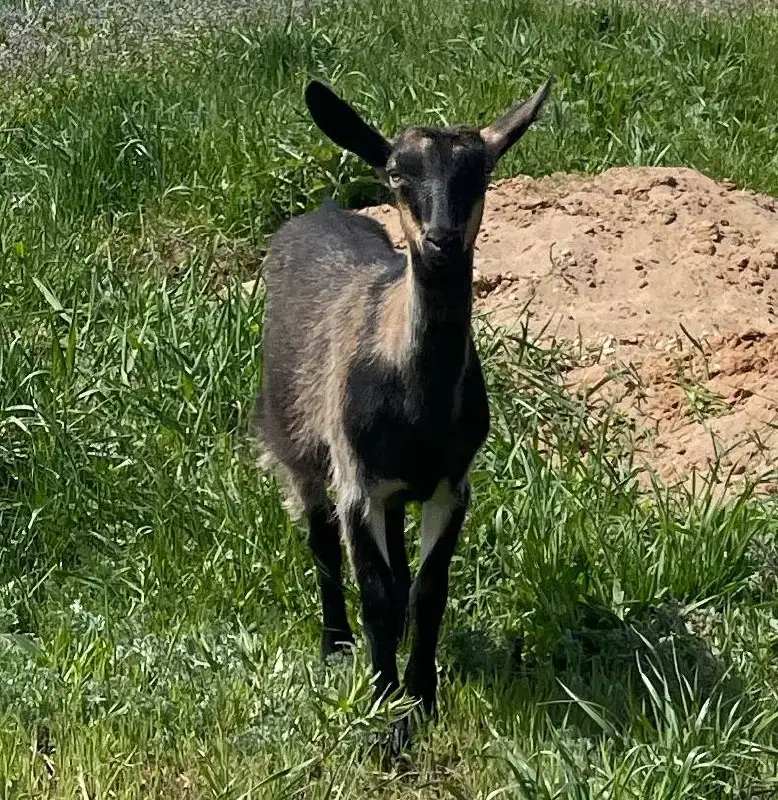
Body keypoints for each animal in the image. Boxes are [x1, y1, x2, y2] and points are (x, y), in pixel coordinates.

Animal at [253, 74, 551, 749]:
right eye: (395, 173)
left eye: (481, 173)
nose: (440, 242)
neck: (419, 409)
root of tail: (321, 211)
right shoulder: (356, 481)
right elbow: (379, 596)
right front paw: (385, 714)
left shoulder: (451, 484)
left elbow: (427, 590)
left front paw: (423, 697)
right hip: (298, 447)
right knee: (320, 542)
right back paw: (336, 645)